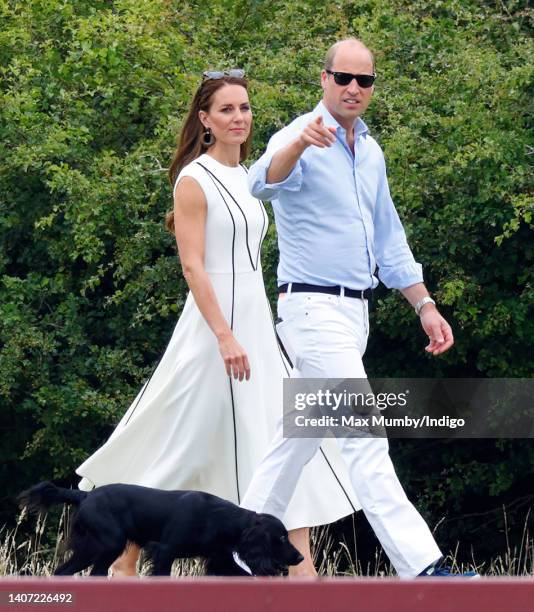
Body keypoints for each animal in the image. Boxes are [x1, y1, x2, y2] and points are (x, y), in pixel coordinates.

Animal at [18, 480, 304, 576]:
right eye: (281, 537)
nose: (301, 557)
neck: (220, 519)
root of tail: (86, 496)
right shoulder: (165, 551)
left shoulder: (219, 559)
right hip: (106, 545)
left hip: (97, 549)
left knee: (66, 572)